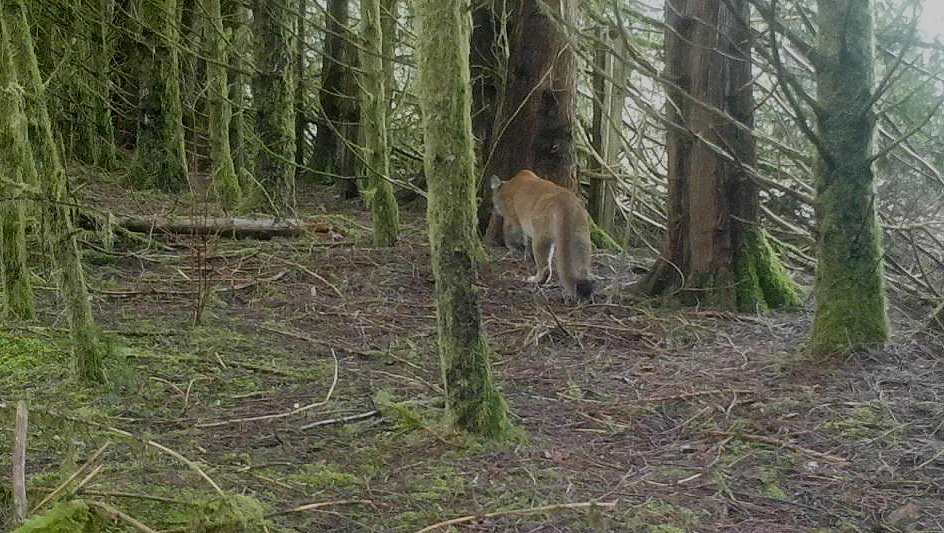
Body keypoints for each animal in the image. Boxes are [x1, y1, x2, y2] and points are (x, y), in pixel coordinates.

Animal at [490, 170, 594, 300]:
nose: (494, 209)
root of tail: (567, 201)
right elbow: (527, 241)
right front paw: (526, 255)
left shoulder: (512, 220)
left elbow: (509, 236)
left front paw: (514, 249)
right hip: (580, 237)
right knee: (582, 266)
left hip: (541, 237)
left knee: (545, 266)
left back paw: (536, 279)